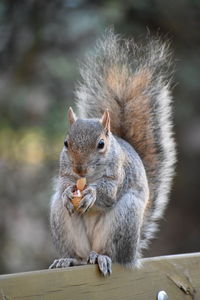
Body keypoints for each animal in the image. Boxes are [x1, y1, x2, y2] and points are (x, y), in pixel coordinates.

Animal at [49, 29, 176, 276]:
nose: (79, 168)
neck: (88, 178)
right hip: (60, 218)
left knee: (112, 253)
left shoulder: (119, 173)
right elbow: (64, 184)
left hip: (125, 219)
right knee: (78, 255)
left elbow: (108, 192)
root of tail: (133, 253)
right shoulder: (65, 172)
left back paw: (101, 257)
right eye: (66, 143)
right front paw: (69, 193)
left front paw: (91, 194)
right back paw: (69, 260)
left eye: (101, 144)